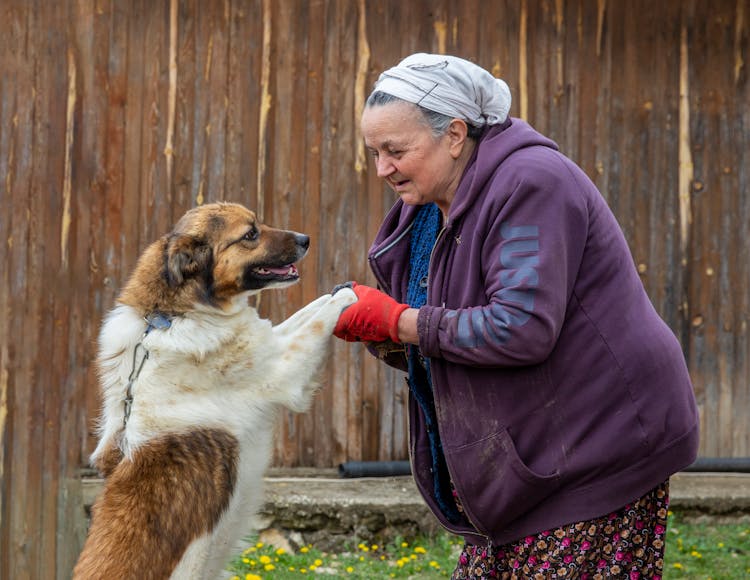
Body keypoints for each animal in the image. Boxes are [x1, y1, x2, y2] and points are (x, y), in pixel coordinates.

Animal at [75, 202, 356, 576]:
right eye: (250, 234)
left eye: (258, 223)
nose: (305, 239)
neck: (171, 315)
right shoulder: (284, 369)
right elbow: (318, 320)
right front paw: (351, 295)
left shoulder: (271, 341)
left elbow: (306, 312)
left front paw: (338, 289)